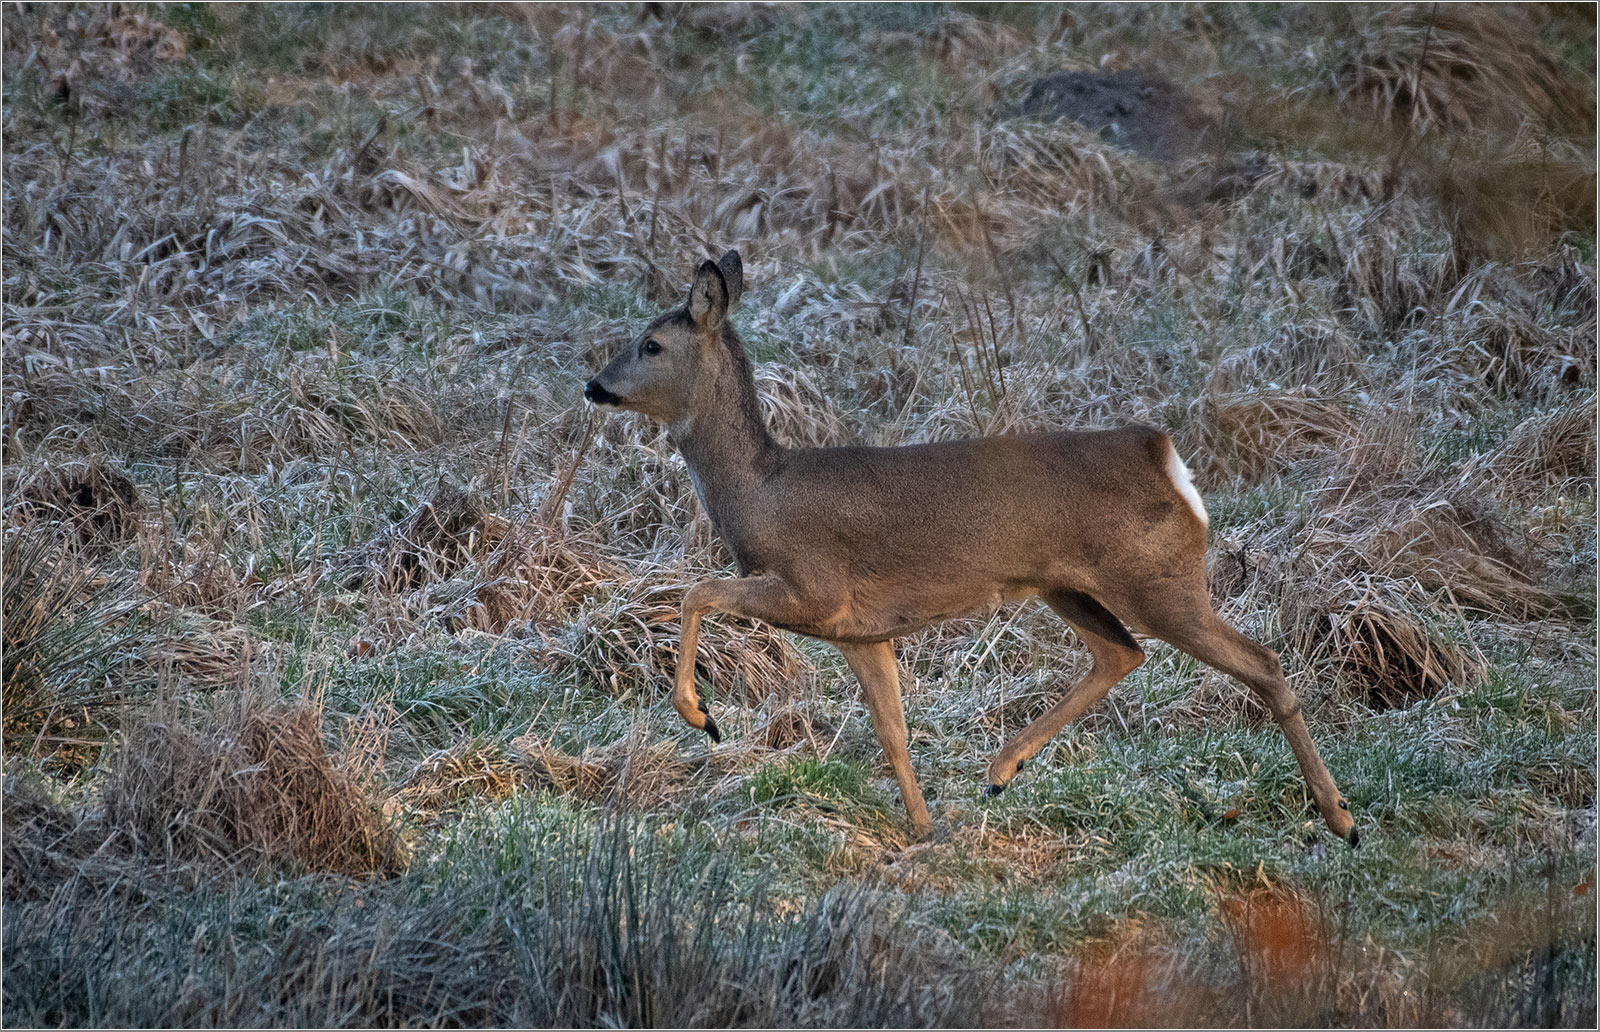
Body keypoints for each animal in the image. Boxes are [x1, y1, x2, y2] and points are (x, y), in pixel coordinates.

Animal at [582, 248, 1356, 844]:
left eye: (650, 345)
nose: (594, 386)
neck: (758, 490)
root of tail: (1167, 457)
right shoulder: (860, 629)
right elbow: (892, 729)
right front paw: (925, 831)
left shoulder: (811, 585)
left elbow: (698, 591)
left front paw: (700, 716)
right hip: (1069, 586)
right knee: (1122, 653)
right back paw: (1000, 773)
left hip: (1157, 579)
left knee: (1261, 661)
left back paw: (1342, 819)